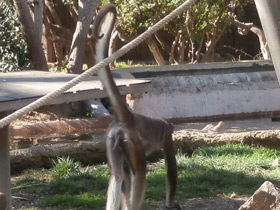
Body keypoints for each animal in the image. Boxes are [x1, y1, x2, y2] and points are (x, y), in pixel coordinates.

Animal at [94, 3, 180, 210]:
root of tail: (128, 117)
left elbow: (123, 174)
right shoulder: (167, 136)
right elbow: (171, 171)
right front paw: (170, 204)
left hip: (113, 139)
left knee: (118, 175)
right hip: (130, 139)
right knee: (140, 172)